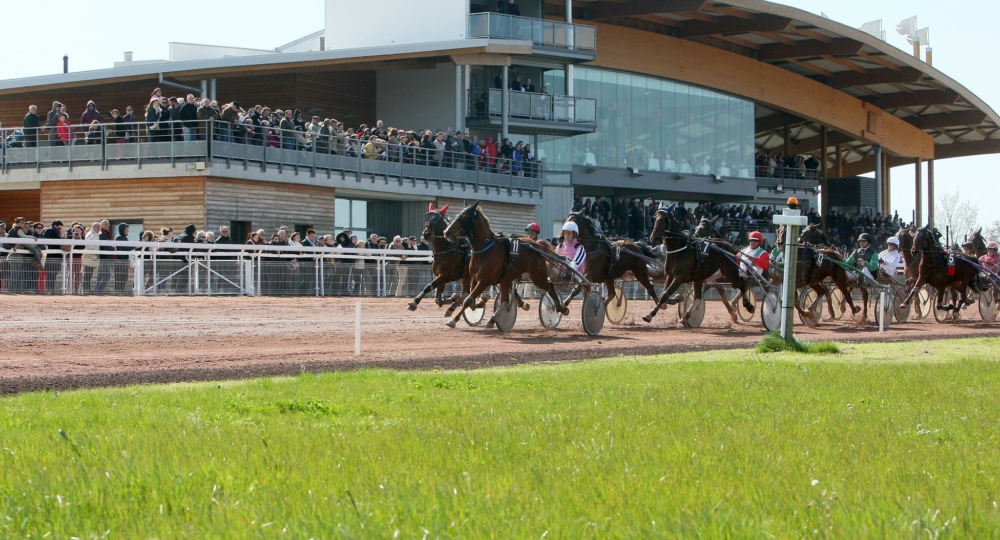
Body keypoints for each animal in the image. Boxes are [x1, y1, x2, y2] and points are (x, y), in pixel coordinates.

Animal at [442, 202, 568, 330]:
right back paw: (492, 320)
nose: (447, 232)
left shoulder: (485, 280)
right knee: (505, 301)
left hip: (538, 277)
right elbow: (470, 299)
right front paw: (478, 302)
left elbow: (468, 300)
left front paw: (453, 320)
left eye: (465, 216)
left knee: (550, 287)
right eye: (458, 214)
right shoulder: (475, 278)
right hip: (506, 280)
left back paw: (560, 308)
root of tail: (536, 245)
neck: (485, 249)